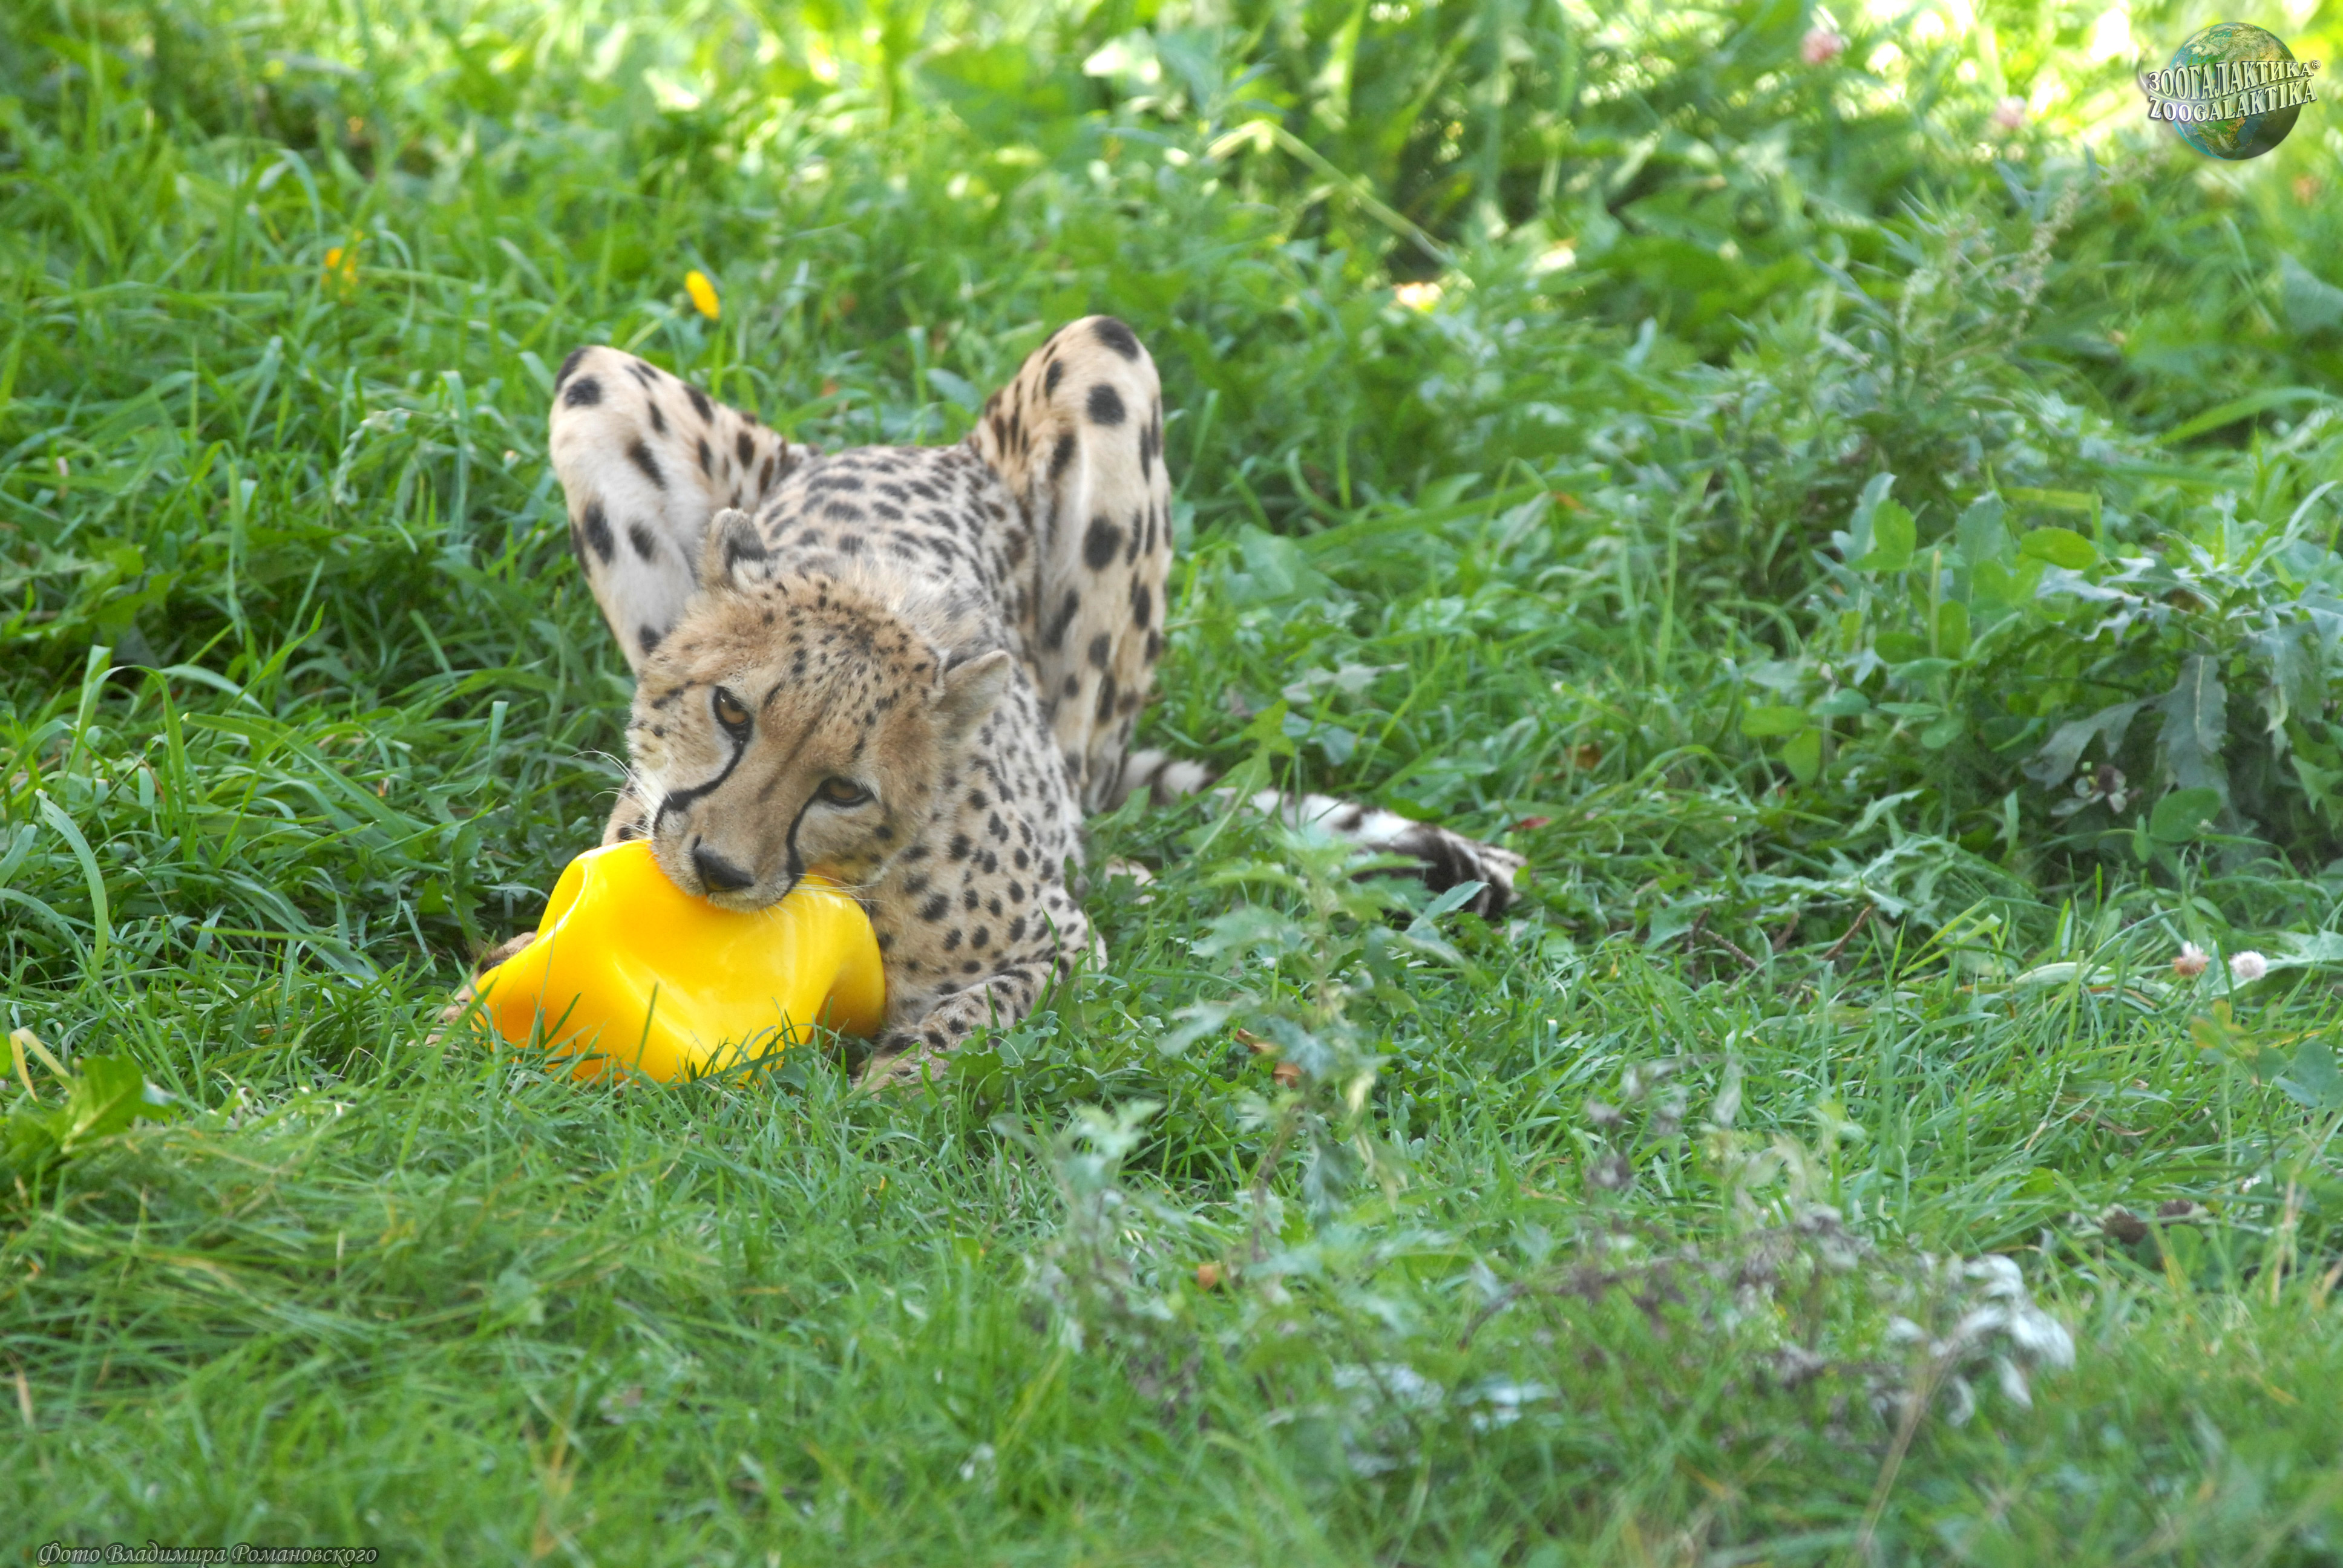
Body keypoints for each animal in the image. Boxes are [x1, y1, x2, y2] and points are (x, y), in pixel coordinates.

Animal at [458, 316, 1524, 1087]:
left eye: (845, 790)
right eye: (731, 713)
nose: (718, 869)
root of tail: (898, 447)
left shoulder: (1061, 944)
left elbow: (974, 1009)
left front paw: (894, 1091)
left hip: (1104, 359)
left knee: (1086, 781)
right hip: (594, 381)